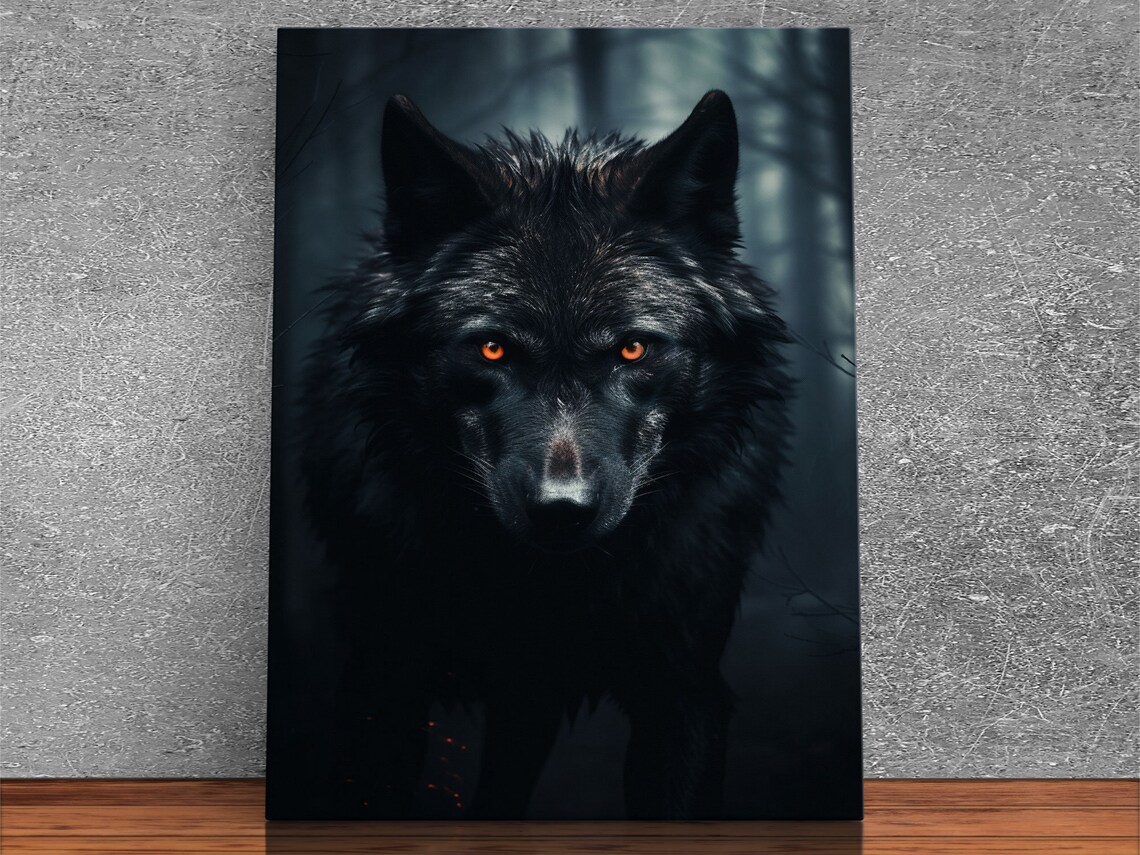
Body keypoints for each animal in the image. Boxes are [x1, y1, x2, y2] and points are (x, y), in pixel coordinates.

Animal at [298, 90, 792, 819]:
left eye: (633, 349)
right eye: (492, 349)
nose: (562, 510)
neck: (546, 588)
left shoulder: (684, 693)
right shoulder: (384, 685)